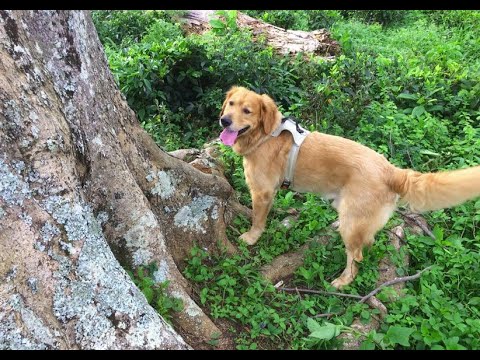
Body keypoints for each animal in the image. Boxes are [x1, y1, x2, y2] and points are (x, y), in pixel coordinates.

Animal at [218, 86, 480, 290]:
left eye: (247, 111)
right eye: (230, 104)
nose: (224, 120)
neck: (265, 134)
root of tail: (392, 170)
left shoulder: (262, 192)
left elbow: (257, 220)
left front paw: (251, 237)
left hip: (352, 223)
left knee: (356, 258)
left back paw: (342, 282)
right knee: (369, 242)